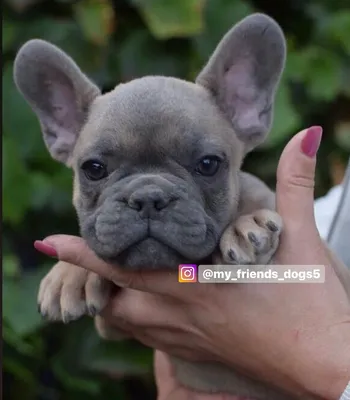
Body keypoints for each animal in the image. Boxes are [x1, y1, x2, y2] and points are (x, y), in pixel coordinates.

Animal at [13, 12, 334, 400]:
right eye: (94, 168)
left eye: (208, 164)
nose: (149, 197)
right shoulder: (112, 326)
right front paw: (70, 275)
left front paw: (247, 227)